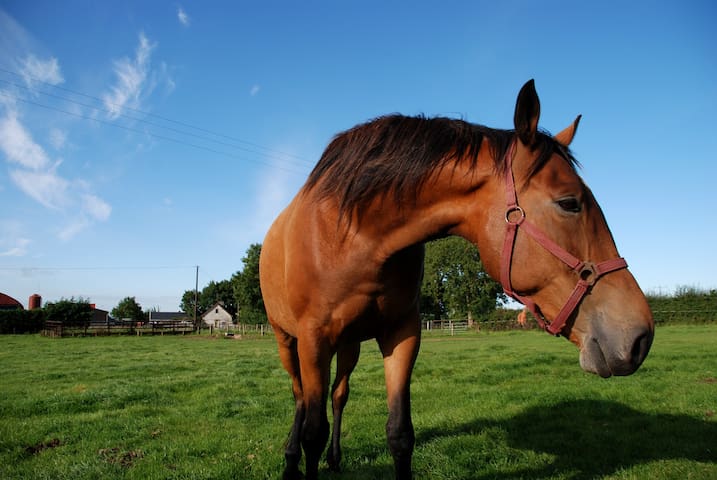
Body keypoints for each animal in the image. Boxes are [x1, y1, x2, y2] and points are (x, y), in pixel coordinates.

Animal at [260, 80, 652, 478]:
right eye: (569, 203)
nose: (640, 336)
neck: (355, 231)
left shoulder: (401, 334)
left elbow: (399, 434)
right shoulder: (314, 339)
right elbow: (312, 432)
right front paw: (299, 456)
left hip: (349, 344)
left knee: (339, 395)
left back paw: (335, 457)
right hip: (287, 341)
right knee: (299, 398)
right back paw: (290, 459)